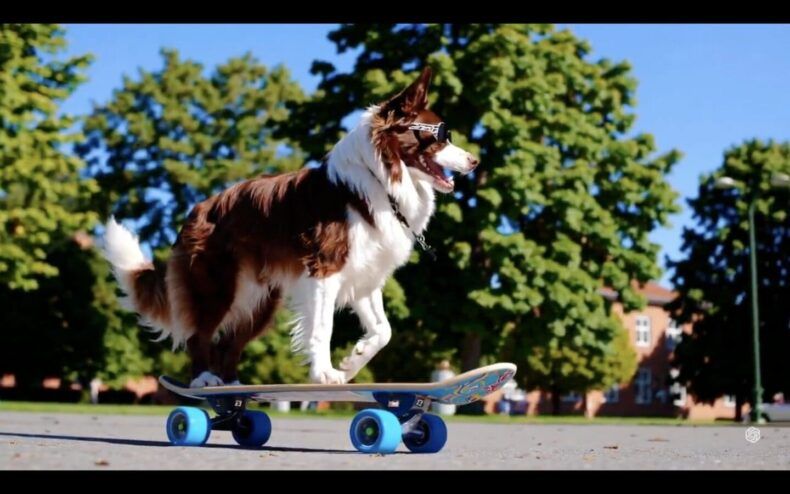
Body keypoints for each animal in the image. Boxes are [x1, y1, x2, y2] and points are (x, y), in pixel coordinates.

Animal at [102, 67, 480, 388]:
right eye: (442, 136)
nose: (475, 161)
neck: (382, 177)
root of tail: (196, 211)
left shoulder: (365, 269)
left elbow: (382, 330)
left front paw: (352, 361)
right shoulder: (326, 269)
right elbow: (323, 327)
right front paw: (325, 374)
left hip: (262, 299)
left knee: (229, 344)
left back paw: (232, 388)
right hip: (218, 284)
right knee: (201, 334)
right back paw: (203, 381)